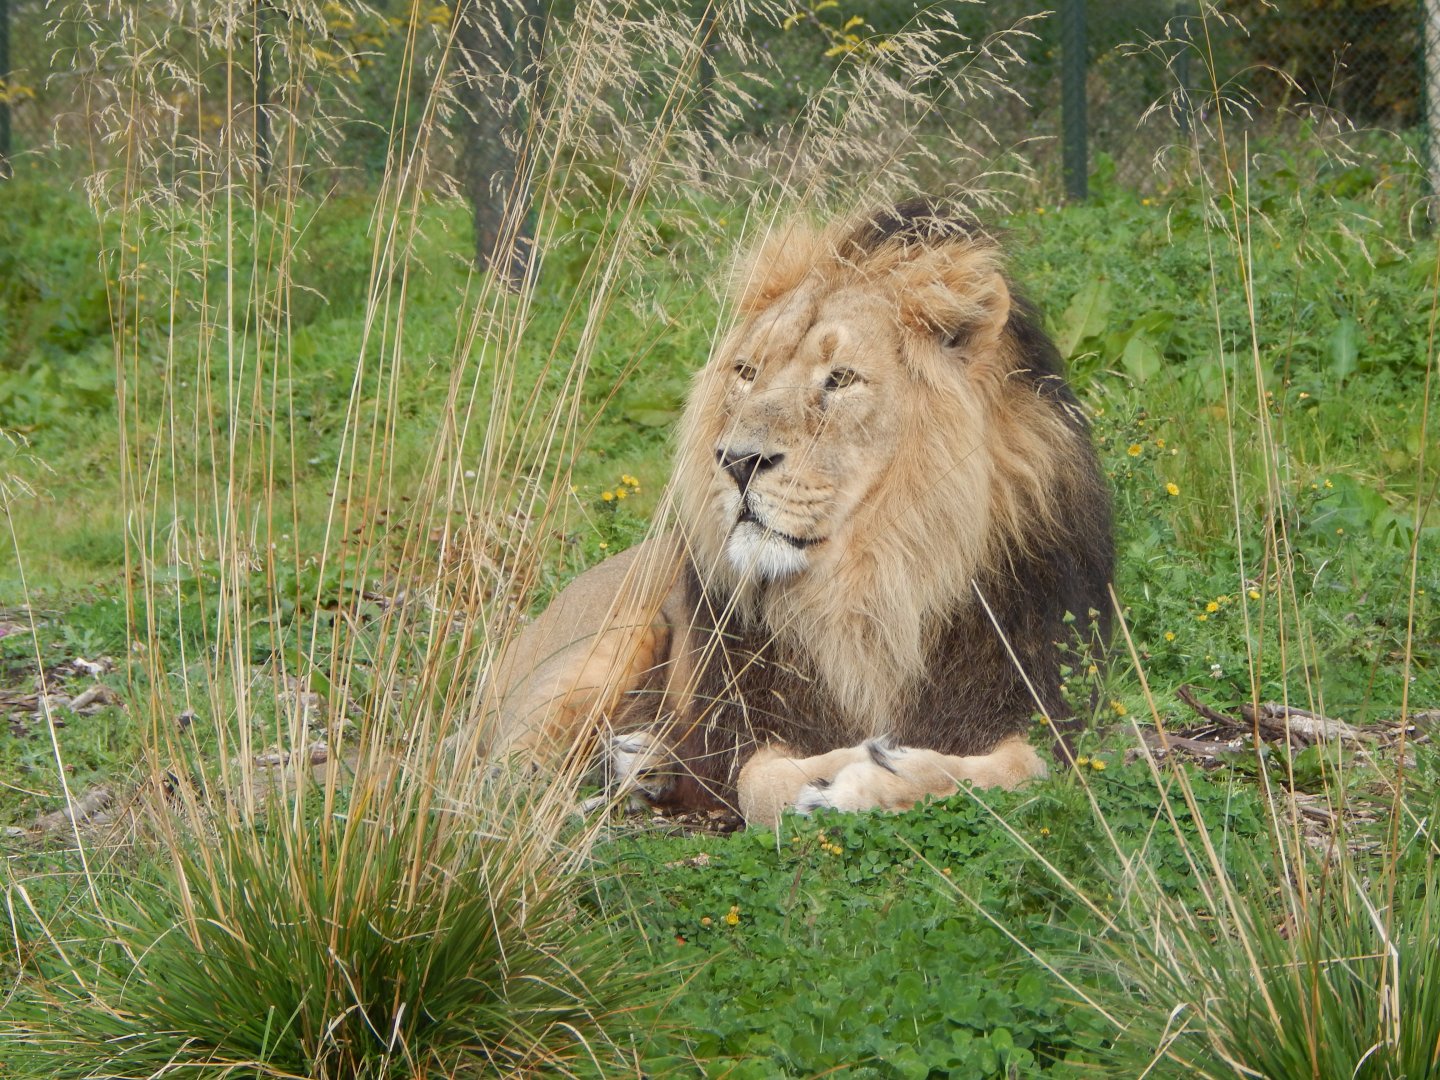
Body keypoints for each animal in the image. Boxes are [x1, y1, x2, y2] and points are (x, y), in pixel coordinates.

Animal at [481, 200, 1113, 829]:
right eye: (746, 372)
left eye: (841, 379)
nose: (737, 460)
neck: (873, 585)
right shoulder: (744, 723)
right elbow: (757, 782)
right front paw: (846, 771)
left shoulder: (1046, 707)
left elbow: (1023, 768)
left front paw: (886, 778)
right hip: (609, 641)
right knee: (506, 779)